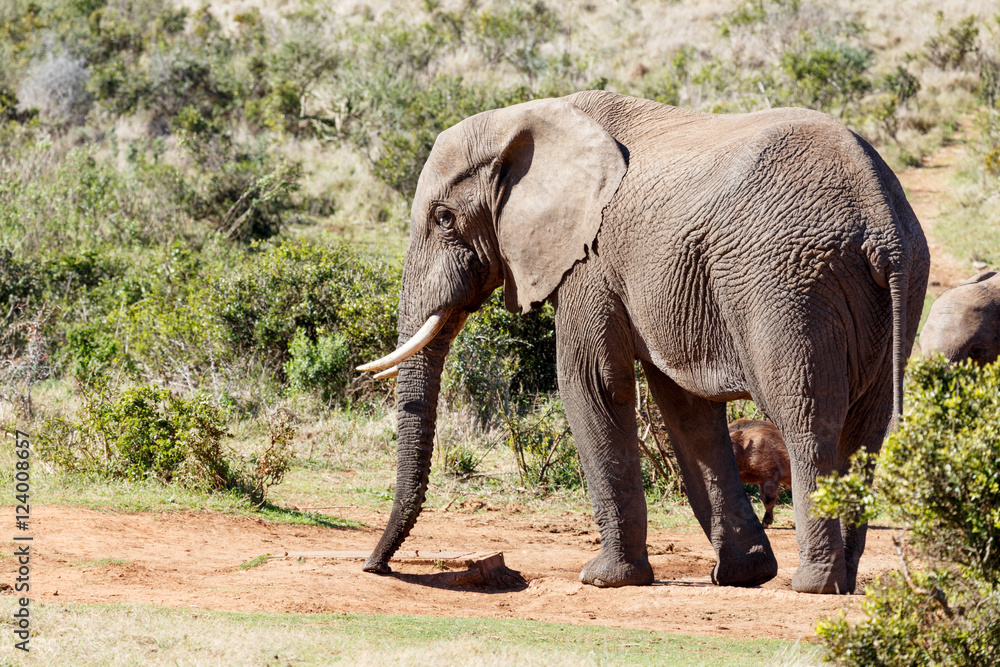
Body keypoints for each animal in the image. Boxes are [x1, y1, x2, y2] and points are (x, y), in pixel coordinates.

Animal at [356, 91, 929, 595]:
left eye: (444, 219)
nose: (374, 567)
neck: (527, 116)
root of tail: (882, 226)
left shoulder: (590, 260)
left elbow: (591, 384)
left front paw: (604, 579)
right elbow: (685, 408)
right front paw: (743, 575)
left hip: (790, 285)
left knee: (807, 418)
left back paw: (815, 585)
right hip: (887, 291)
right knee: (864, 430)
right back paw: (843, 582)